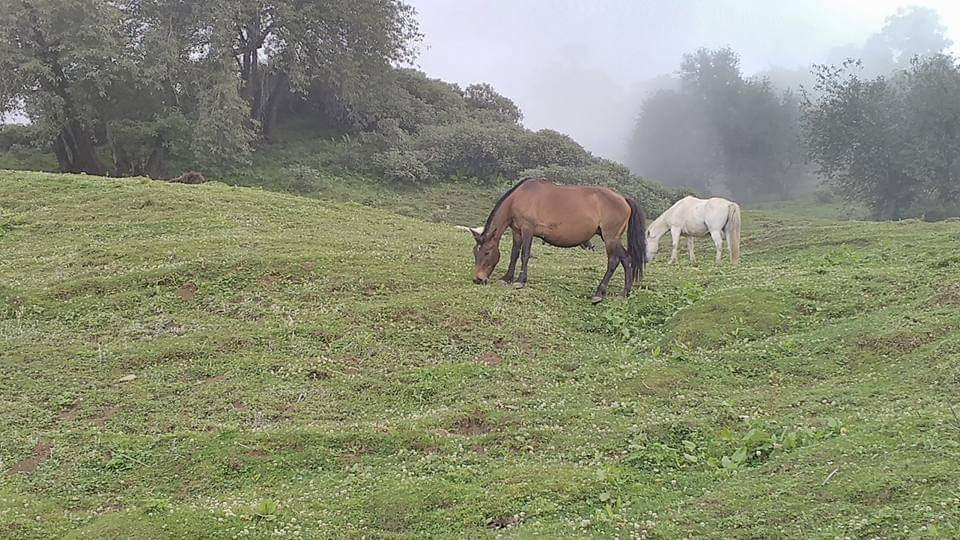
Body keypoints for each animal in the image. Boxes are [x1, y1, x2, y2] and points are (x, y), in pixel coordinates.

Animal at [456, 178, 644, 302]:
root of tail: (624, 199)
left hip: (610, 238)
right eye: (475, 253)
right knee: (626, 259)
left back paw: (599, 293)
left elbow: (525, 254)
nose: (478, 279)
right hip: (612, 238)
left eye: (487, 252)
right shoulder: (517, 231)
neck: (519, 198)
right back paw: (625, 293)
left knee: (614, 261)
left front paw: (520, 281)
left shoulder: (528, 230)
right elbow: (514, 254)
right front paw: (507, 278)